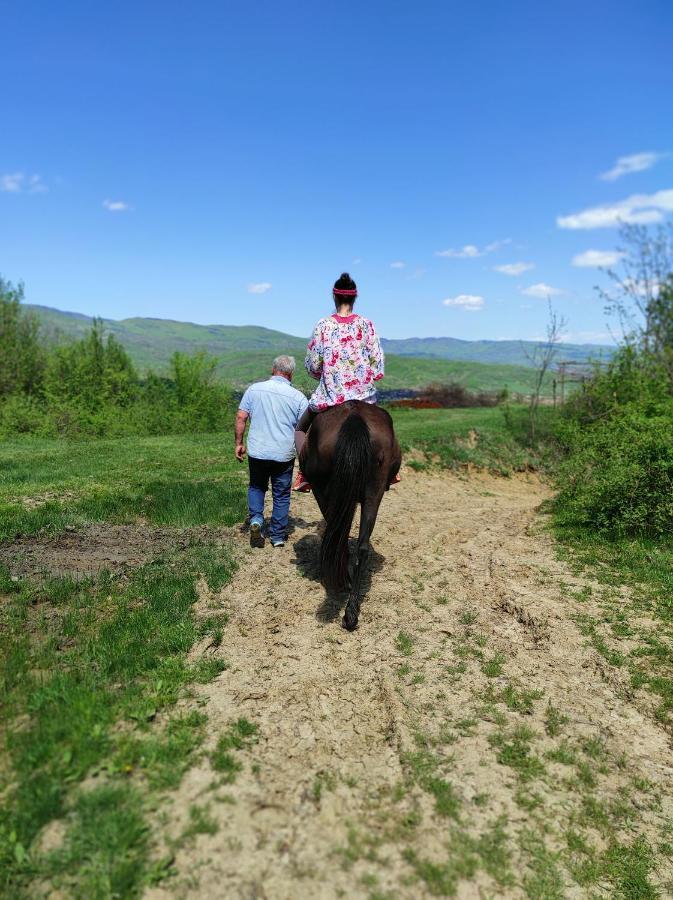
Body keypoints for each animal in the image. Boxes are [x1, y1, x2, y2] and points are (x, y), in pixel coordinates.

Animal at [302, 404, 402, 628]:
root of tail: (354, 416)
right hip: (374, 491)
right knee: (362, 546)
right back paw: (351, 612)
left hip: (324, 490)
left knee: (339, 538)